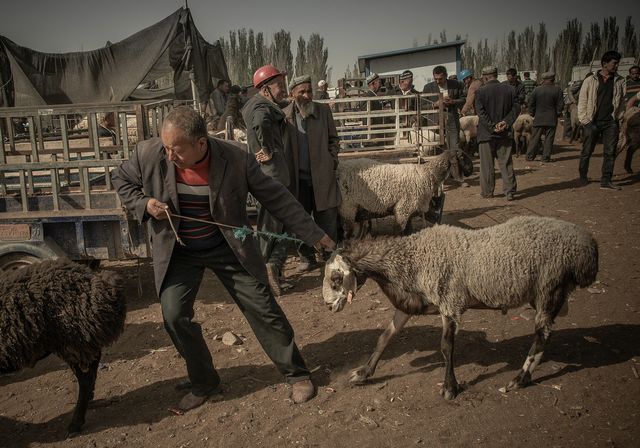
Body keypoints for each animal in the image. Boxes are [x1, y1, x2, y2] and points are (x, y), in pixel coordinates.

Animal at [324, 216, 600, 400]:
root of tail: (588, 247)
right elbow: (384, 338)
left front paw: (449, 388)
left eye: (336, 278)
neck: (410, 260)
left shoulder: (450, 302)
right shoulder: (409, 305)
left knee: (541, 338)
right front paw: (363, 373)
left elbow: (446, 347)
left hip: (549, 289)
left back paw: (518, 380)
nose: (328, 306)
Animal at [338, 149, 472, 236]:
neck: (428, 175)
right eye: (462, 157)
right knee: (347, 231)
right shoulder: (404, 208)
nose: (471, 170)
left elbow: (408, 231)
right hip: (347, 206)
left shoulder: (409, 210)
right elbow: (398, 231)